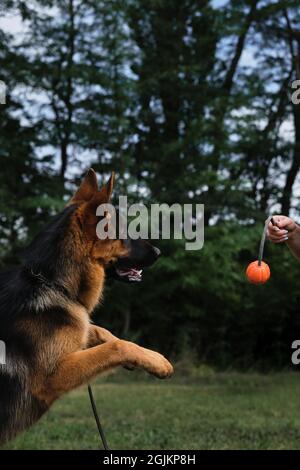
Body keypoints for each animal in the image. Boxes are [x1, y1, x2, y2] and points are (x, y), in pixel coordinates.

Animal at [0, 171, 173, 446]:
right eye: (123, 233)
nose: (158, 251)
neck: (52, 282)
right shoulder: (51, 379)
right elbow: (116, 347)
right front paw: (157, 360)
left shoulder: (77, 328)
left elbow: (98, 330)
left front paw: (144, 357)